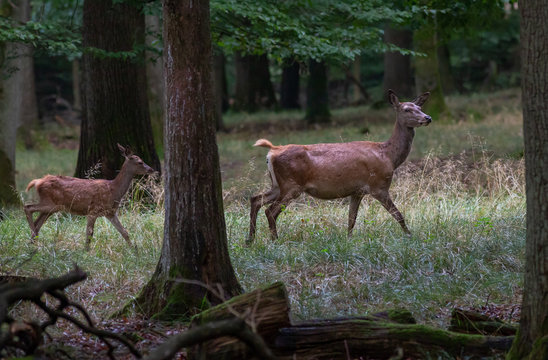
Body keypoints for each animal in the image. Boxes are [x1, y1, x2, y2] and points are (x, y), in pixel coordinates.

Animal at [24, 143, 154, 250]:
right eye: (140, 162)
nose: (152, 169)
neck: (114, 190)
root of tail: (38, 182)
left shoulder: (110, 213)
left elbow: (124, 232)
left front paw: (135, 251)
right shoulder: (93, 211)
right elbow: (89, 234)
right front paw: (86, 252)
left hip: (52, 207)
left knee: (38, 221)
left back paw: (32, 241)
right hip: (50, 203)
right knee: (28, 207)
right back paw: (33, 237)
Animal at [248, 89, 432, 245]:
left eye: (420, 107)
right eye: (407, 109)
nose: (428, 117)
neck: (389, 156)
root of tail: (272, 151)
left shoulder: (357, 191)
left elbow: (351, 219)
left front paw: (348, 241)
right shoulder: (379, 186)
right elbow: (398, 215)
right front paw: (411, 237)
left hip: (278, 184)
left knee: (256, 199)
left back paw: (250, 240)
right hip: (291, 184)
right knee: (270, 211)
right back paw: (274, 241)